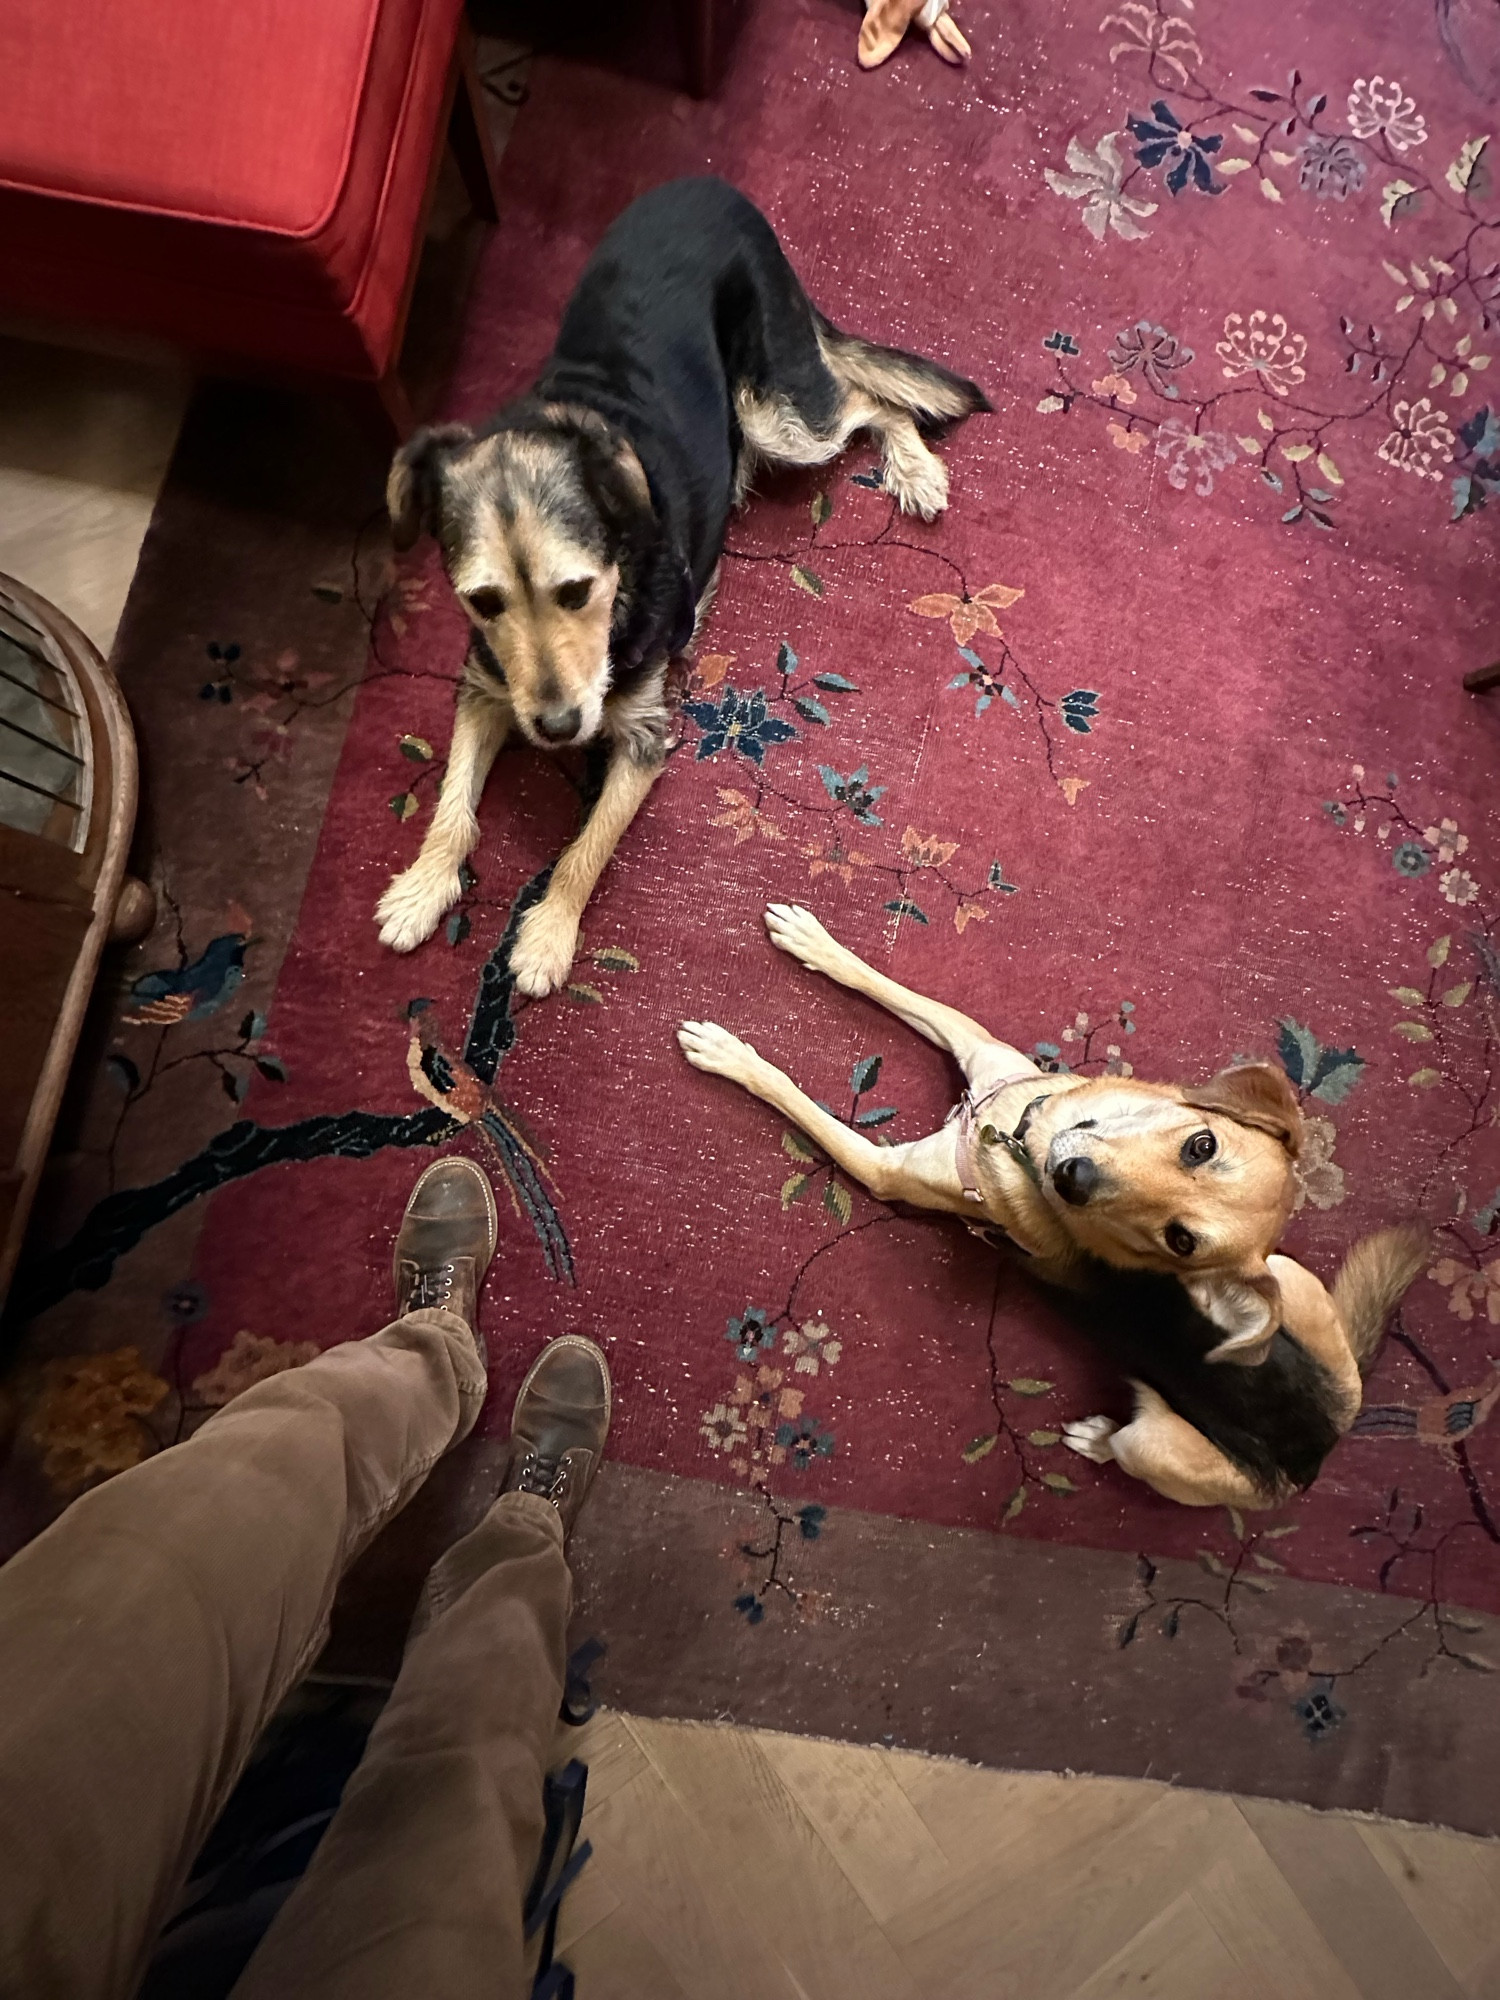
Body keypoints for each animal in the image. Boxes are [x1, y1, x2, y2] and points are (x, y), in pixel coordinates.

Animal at [378, 176, 988, 988]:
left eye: (577, 591)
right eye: (483, 601)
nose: (560, 731)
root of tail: (708, 188)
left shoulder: (645, 735)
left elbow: (589, 844)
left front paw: (546, 935)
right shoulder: (485, 686)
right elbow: (451, 799)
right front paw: (422, 886)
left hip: (778, 415)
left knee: (870, 402)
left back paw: (916, 470)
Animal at [684, 904, 1432, 1504]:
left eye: (1181, 1242)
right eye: (1201, 1144)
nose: (1071, 1174)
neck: (1017, 1137)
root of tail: (1317, 1450)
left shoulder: (883, 1169)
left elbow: (797, 1099)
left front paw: (730, 1054)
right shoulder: (976, 1044)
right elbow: (887, 983)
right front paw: (814, 941)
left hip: (1163, 1450)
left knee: (1129, 1447)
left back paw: (1095, 1437)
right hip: (1296, 1282)